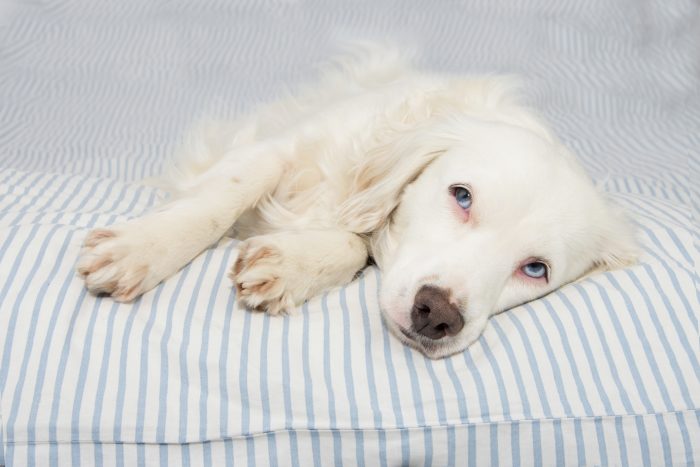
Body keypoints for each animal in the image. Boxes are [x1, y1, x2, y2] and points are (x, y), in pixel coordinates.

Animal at [75, 44, 636, 358]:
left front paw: (290, 265)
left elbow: (352, 245)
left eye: (536, 269)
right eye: (461, 196)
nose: (437, 315)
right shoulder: (277, 148)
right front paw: (140, 249)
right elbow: (220, 200)